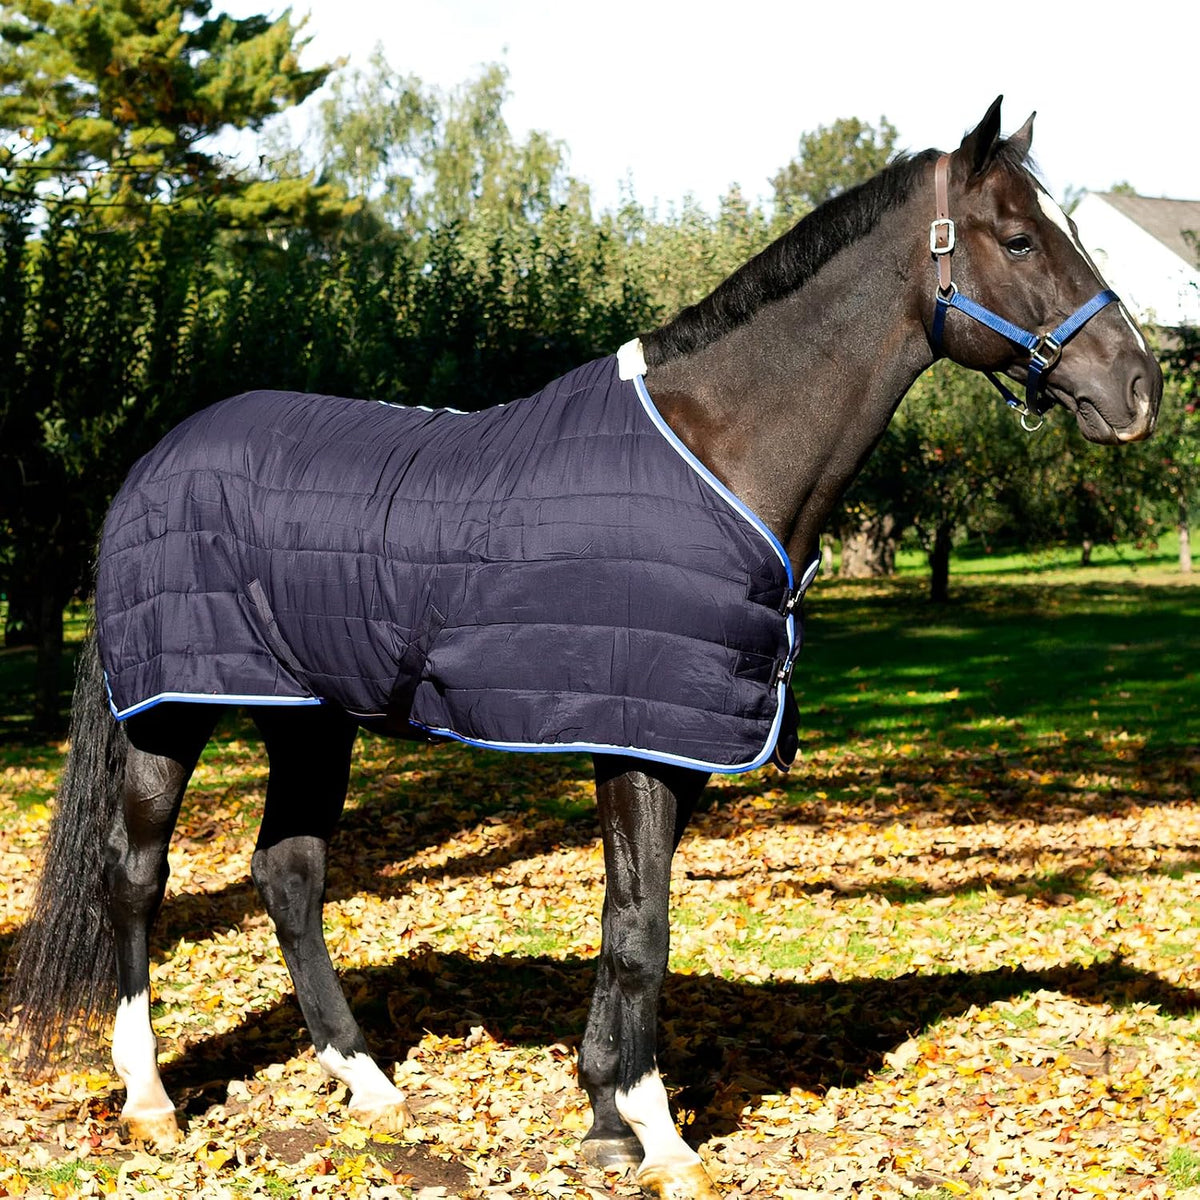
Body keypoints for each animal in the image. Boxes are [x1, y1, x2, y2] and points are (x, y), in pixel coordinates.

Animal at [8, 97, 1161, 1199]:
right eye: (1020, 238)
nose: (1141, 390)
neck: (718, 449)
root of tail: (158, 456)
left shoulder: (673, 747)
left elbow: (621, 921)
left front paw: (607, 1118)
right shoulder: (639, 743)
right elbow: (644, 932)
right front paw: (662, 1137)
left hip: (311, 718)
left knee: (288, 873)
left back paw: (368, 1082)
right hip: (172, 711)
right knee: (136, 877)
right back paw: (150, 1099)